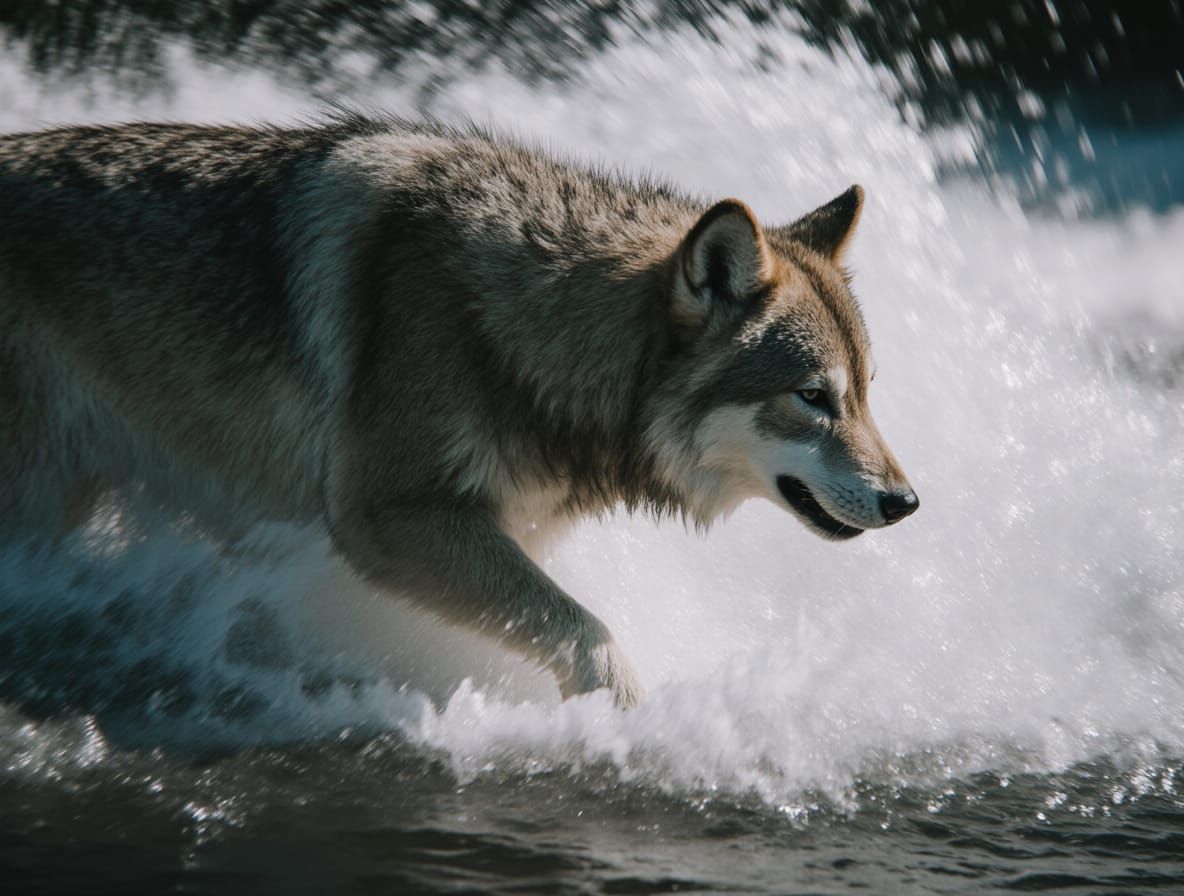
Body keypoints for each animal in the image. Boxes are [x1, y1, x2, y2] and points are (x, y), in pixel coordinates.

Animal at [0, 114, 918, 708]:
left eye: (868, 393)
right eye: (813, 397)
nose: (906, 503)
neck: (520, 325)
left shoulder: (503, 528)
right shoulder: (388, 519)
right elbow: (585, 632)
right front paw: (628, 723)